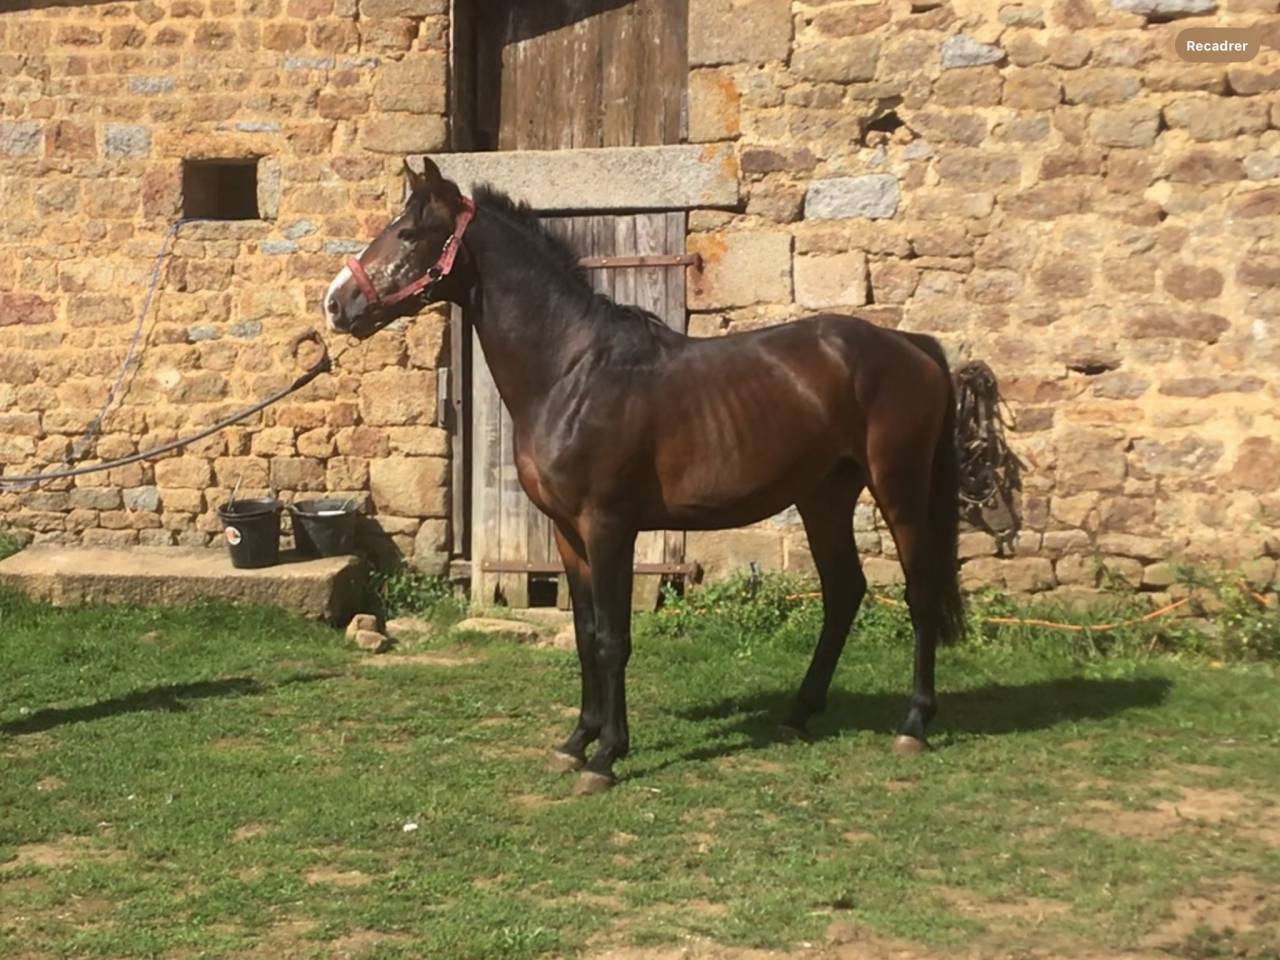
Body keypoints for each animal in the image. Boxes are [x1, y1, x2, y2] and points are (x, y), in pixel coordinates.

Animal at [325, 158, 973, 795]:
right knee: (844, 592)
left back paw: (914, 723)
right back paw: (798, 714)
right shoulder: (566, 533)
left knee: (917, 593)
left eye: (410, 233)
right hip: (825, 497)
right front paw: (577, 741)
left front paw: (606, 756)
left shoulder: (610, 527)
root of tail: (912, 345)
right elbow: (585, 634)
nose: (336, 302)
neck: (572, 373)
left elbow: (614, 640)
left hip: (899, 490)